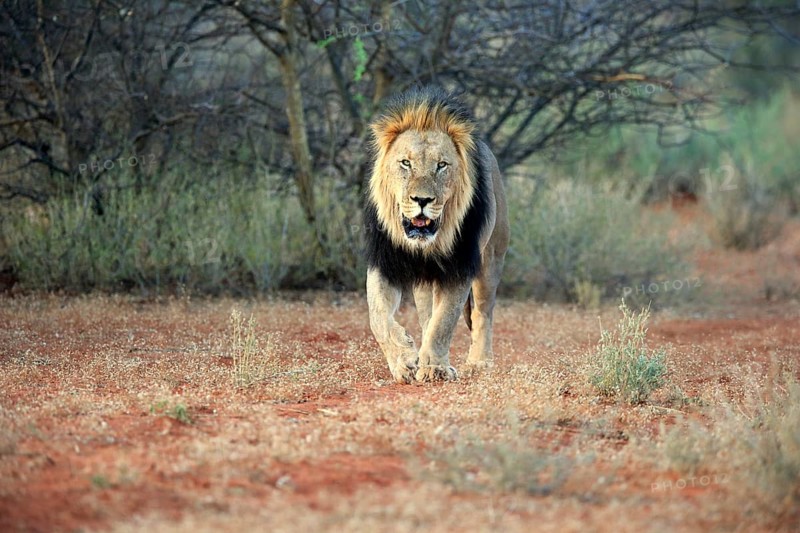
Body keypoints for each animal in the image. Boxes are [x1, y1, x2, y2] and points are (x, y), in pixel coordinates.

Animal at [364, 86, 509, 383]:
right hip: (425, 282)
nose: (422, 200)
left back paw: (480, 362)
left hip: (492, 258)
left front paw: (435, 368)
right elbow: (378, 316)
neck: (426, 245)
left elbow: (445, 321)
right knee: (426, 315)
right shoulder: (384, 261)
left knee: (482, 312)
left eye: (441, 165)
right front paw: (404, 359)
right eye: (405, 163)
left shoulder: (459, 266)